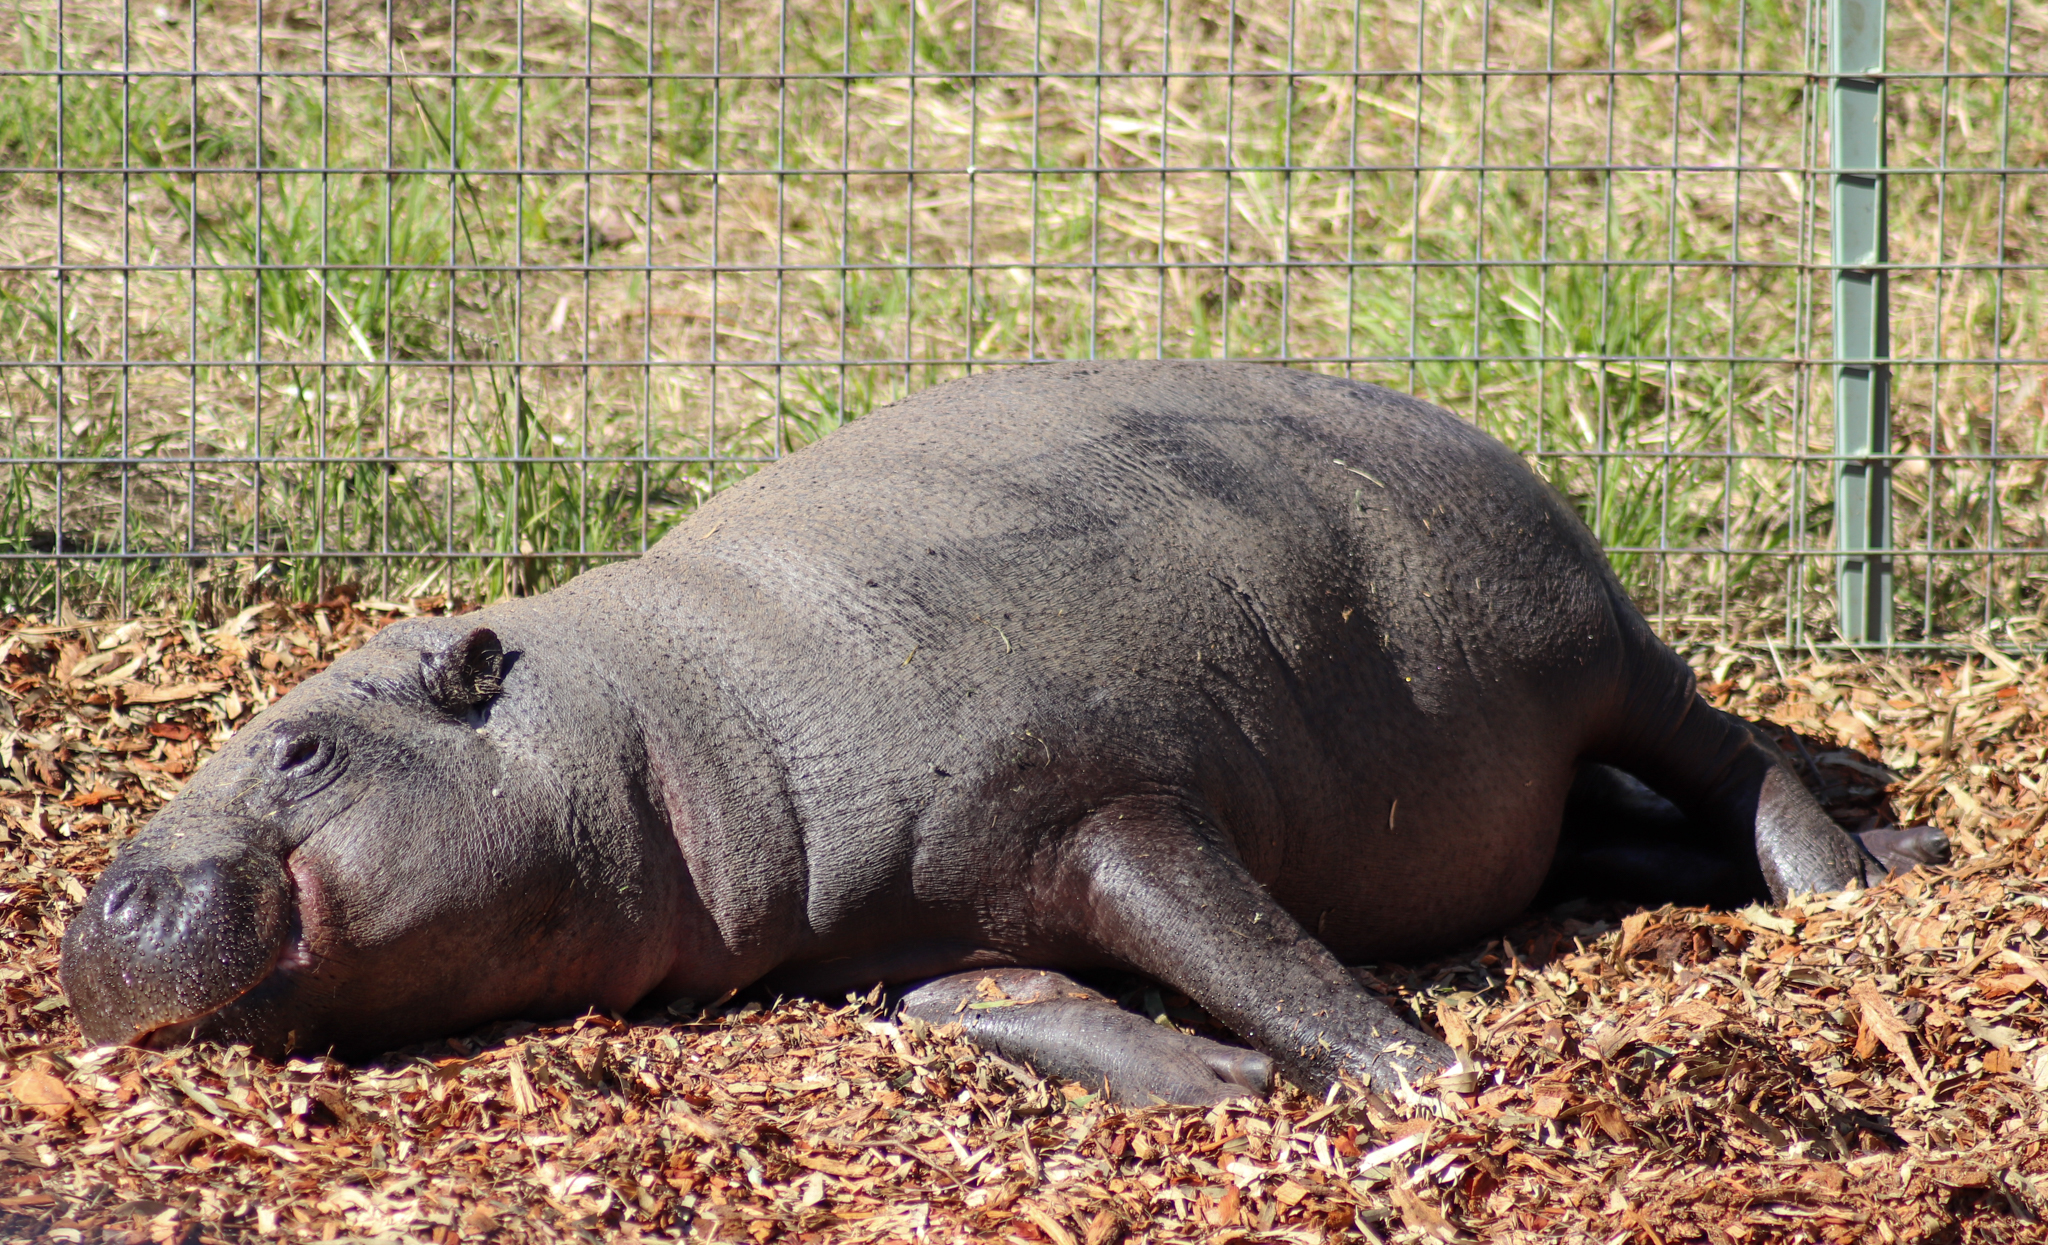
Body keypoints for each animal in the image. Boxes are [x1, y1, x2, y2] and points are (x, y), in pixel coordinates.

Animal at [61, 361, 1945, 1105]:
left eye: (301, 748)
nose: (101, 908)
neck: (671, 718)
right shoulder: (914, 936)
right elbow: (1008, 1000)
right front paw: (1211, 1079)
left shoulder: (1105, 805)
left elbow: (1253, 945)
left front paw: (1430, 1082)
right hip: (1520, 786)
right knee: (1619, 822)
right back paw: (1878, 846)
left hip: (1590, 637)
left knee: (1722, 751)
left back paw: (1850, 879)